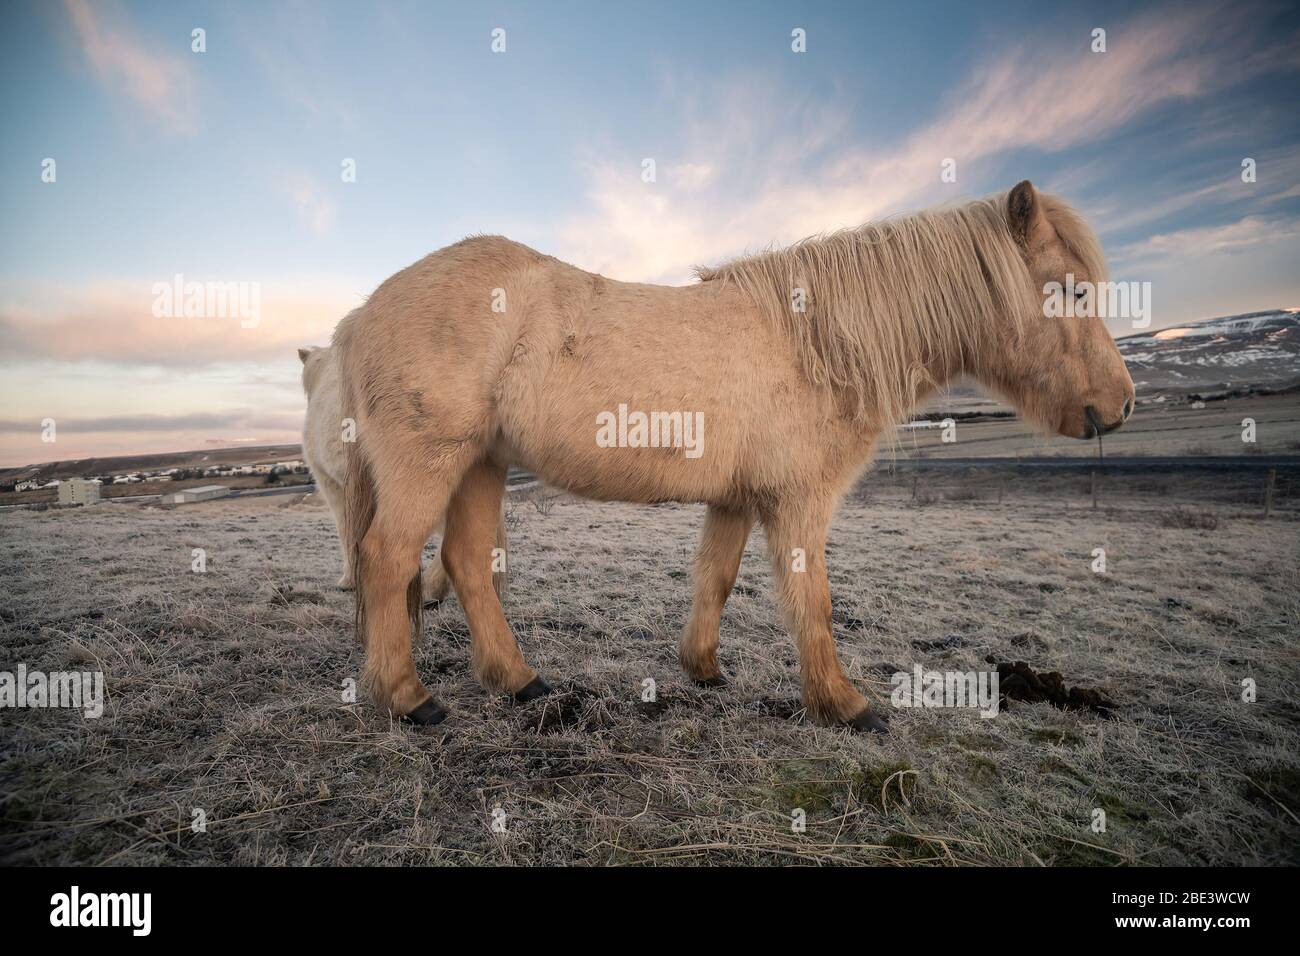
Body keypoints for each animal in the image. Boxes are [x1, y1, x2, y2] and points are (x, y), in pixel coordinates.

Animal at [332, 180, 1135, 731]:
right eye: (1067, 290)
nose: (1121, 405)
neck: (814, 343)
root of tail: (364, 310)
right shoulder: (799, 502)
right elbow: (814, 600)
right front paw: (844, 704)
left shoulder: (737, 500)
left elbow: (714, 580)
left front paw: (704, 670)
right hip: (430, 463)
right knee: (388, 558)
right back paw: (408, 698)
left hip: (480, 464)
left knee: (467, 563)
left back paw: (519, 680)